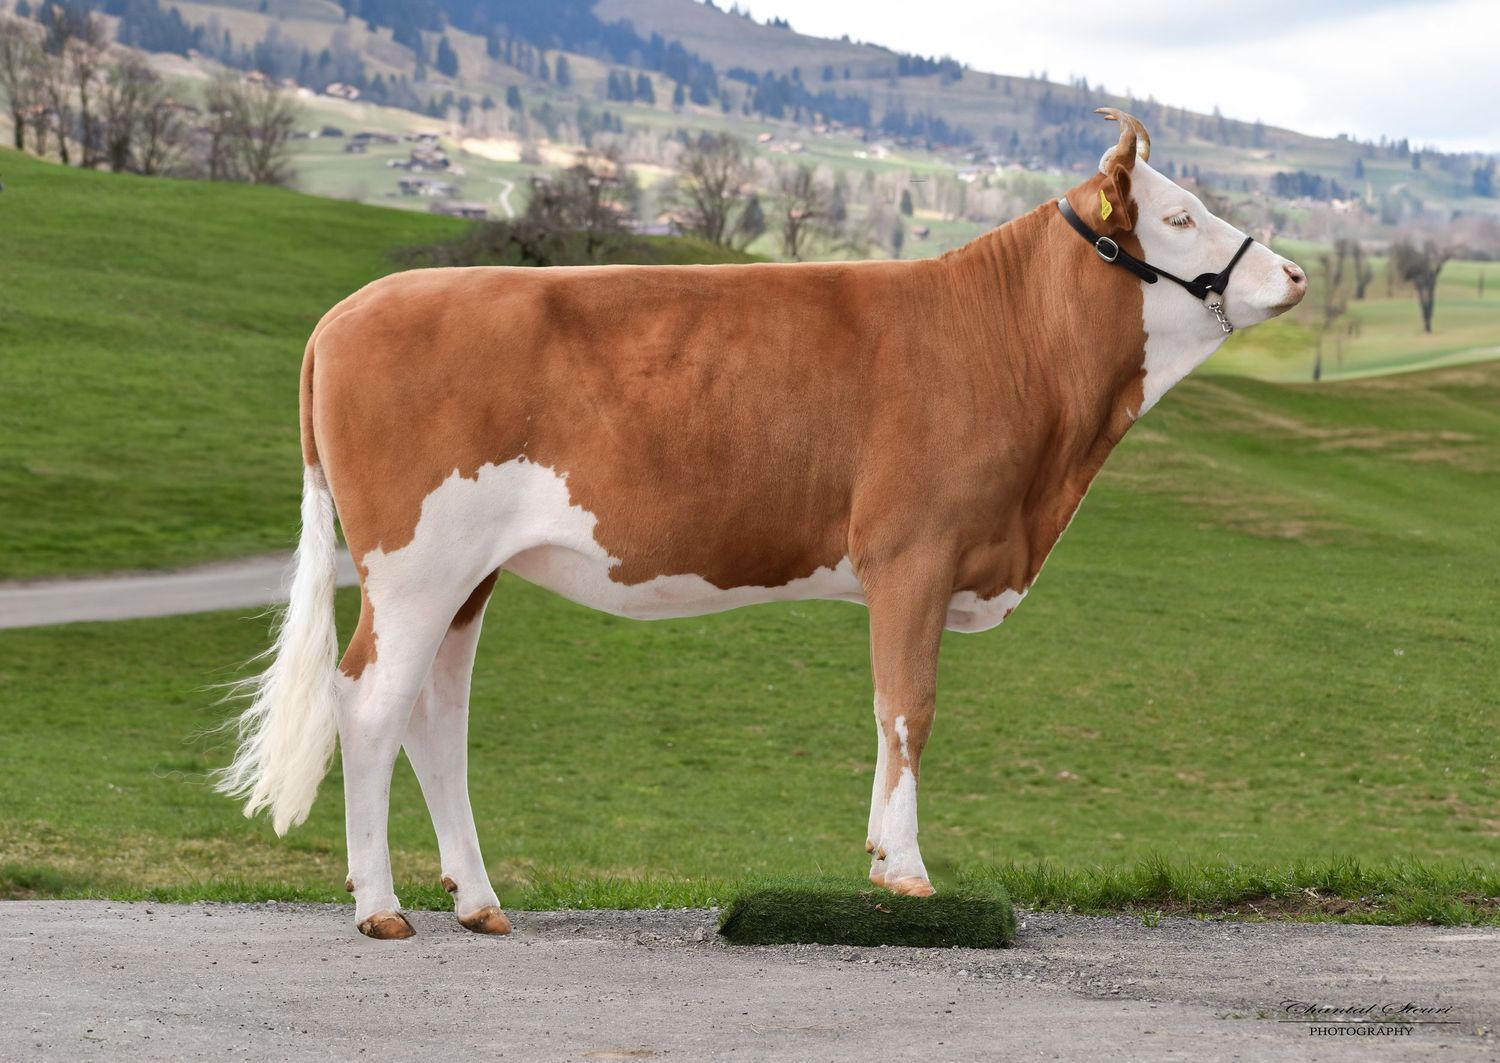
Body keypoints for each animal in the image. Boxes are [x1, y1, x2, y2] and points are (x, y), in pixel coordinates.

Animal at [216, 110, 1306, 939]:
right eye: (1181, 213)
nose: (1294, 275)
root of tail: (348, 311)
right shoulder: (915, 552)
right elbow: (907, 706)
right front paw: (905, 871)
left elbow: (889, 710)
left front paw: (880, 856)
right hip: (413, 566)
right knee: (369, 702)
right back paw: (379, 905)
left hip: (466, 573)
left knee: (436, 715)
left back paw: (480, 901)